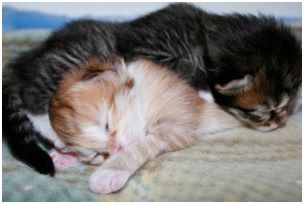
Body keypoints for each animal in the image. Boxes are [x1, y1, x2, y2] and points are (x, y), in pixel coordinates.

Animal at [2, 2, 302, 175]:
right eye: (262, 112)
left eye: (286, 105)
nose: (279, 122)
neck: (207, 35)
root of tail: (24, 60)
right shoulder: (152, 50)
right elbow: (189, 74)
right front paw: (206, 92)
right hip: (72, 60)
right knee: (34, 100)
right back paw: (56, 134)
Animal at [49, 57, 240, 194]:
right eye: (98, 154)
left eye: (107, 124)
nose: (116, 149)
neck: (143, 97)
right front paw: (65, 155)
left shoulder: (178, 126)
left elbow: (140, 146)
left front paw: (111, 171)